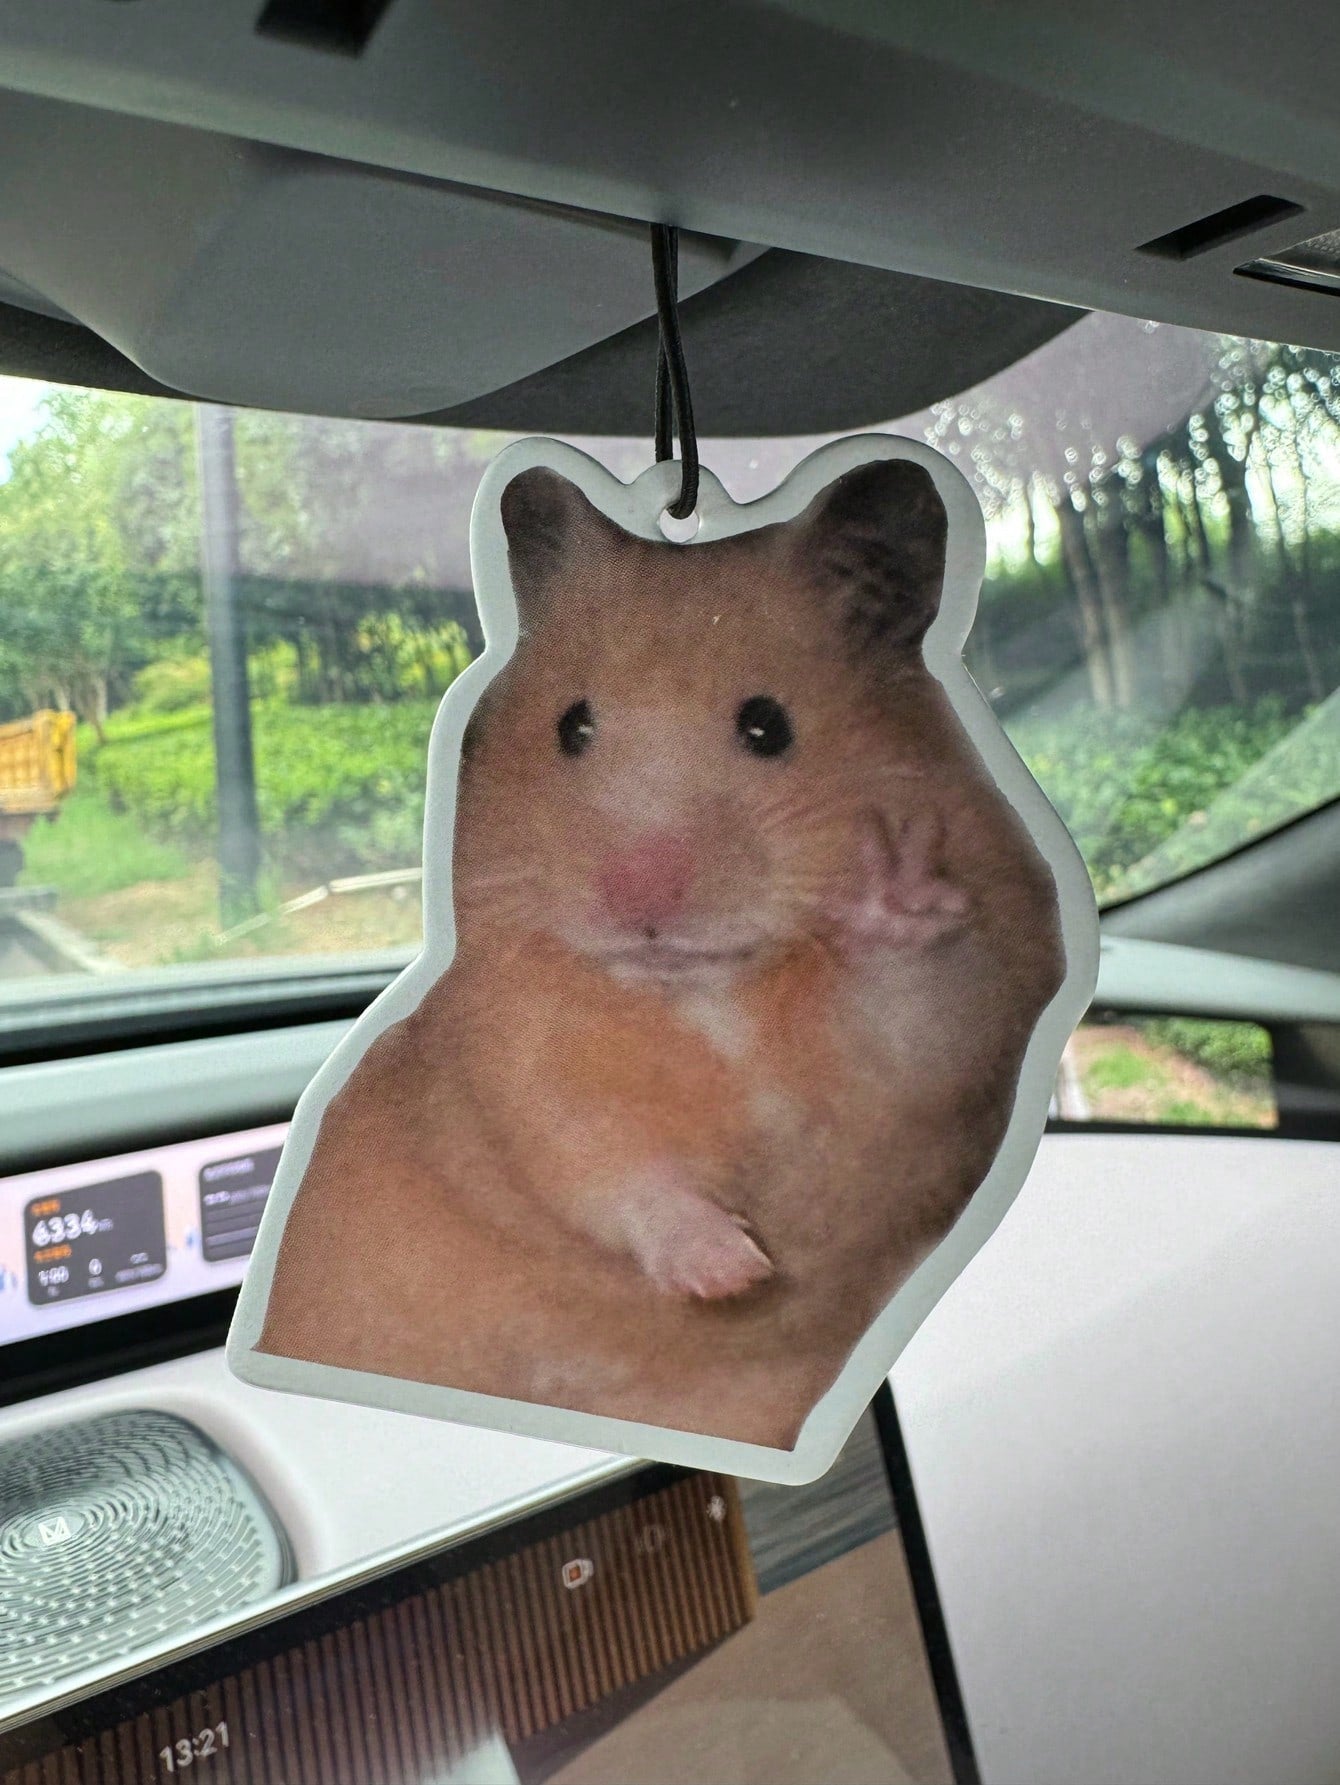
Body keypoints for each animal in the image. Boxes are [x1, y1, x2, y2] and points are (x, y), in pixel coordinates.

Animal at [259, 457, 1065, 1450]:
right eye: (570, 726)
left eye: (768, 725)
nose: (637, 898)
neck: (704, 996)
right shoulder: (520, 1068)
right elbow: (609, 1168)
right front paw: (733, 1271)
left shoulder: (962, 1035)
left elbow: (915, 1013)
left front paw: (894, 884)